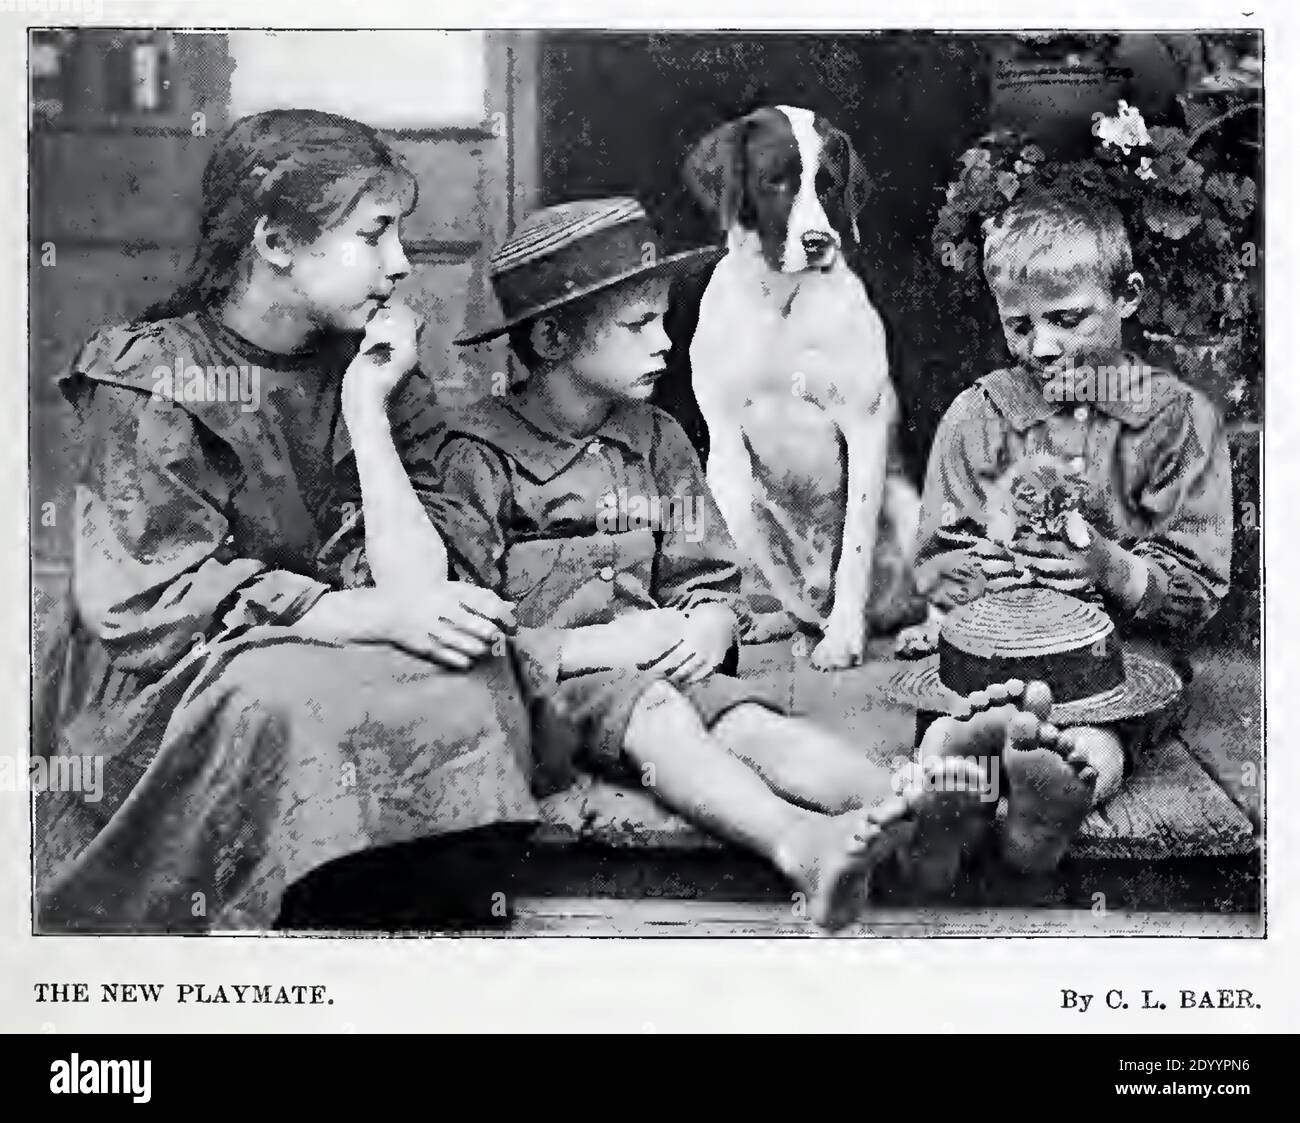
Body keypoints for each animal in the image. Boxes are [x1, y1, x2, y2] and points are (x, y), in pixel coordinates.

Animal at [686, 105, 920, 665]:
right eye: (775, 182)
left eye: (828, 184)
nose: (818, 242)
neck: (780, 302)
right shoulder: (724, 448)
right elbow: (754, 547)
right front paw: (795, 612)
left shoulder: (866, 430)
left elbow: (854, 546)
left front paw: (841, 637)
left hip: (909, 504)